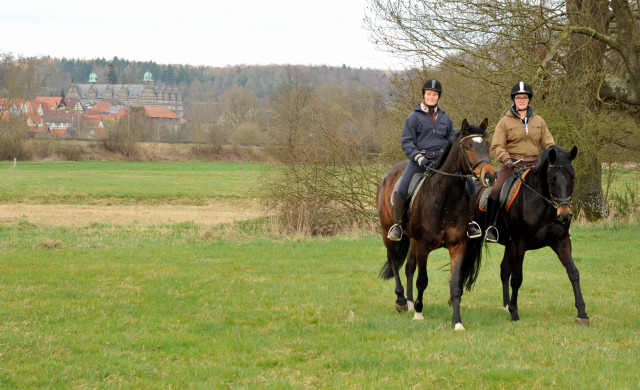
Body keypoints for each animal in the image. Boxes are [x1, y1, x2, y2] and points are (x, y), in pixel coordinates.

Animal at [378, 118, 498, 330]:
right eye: (468, 147)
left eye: (487, 145)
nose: (489, 176)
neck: (444, 198)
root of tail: (388, 175)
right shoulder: (424, 245)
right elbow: (422, 280)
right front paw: (419, 313)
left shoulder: (457, 246)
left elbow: (455, 284)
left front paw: (457, 322)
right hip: (388, 233)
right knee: (394, 261)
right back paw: (401, 301)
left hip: (412, 240)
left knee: (408, 267)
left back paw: (409, 302)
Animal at [470, 145, 592, 324]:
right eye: (551, 179)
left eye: (573, 177)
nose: (564, 215)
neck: (543, 205)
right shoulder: (520, 243)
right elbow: (517, 278)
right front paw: (515, 313)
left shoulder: (561, 241)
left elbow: (573, 273)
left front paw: (582, 313)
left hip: (509, 244)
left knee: (504, 270)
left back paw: (506, 305)